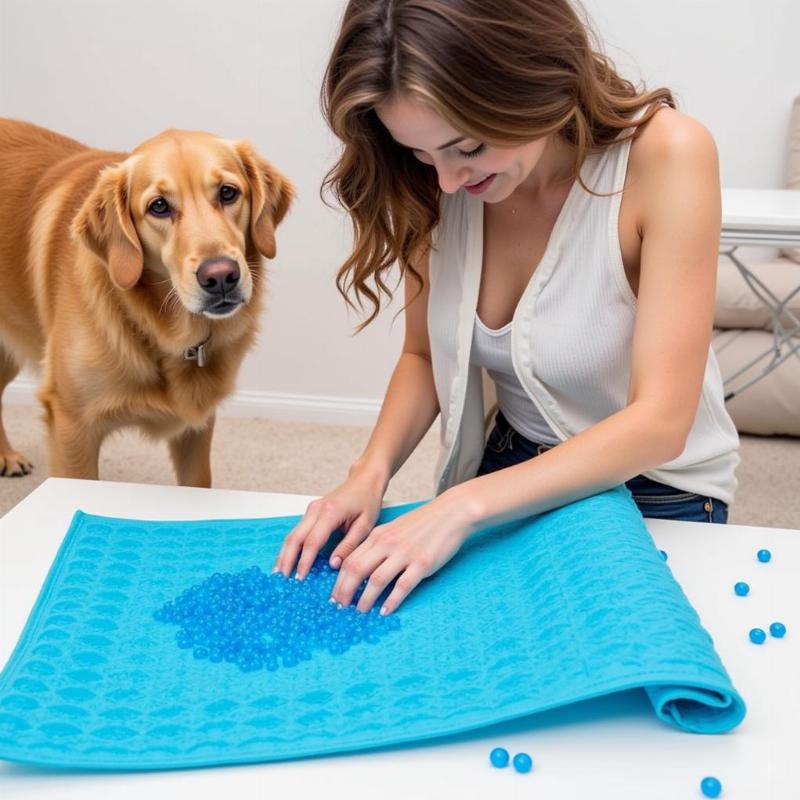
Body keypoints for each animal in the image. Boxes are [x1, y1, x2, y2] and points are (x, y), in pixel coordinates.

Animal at [0, 116, 294, 484]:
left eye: (228, 192)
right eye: (159, 206)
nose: (221, 277)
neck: (153, 327)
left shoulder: (196, 430)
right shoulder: (72, 427)